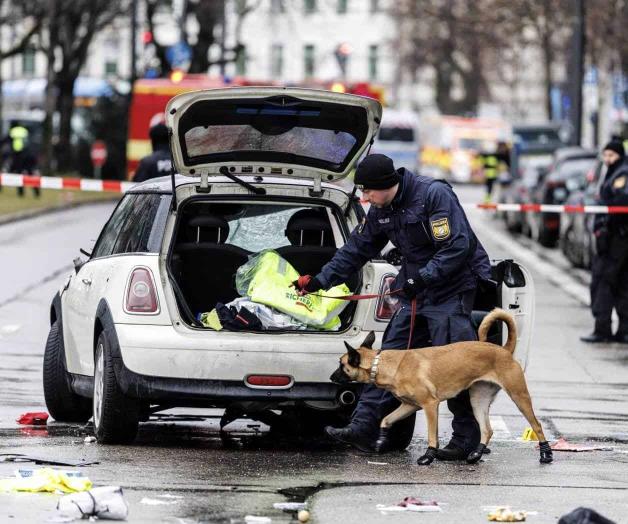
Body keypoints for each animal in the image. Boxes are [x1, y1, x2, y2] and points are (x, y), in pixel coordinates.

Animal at [332, 310, 552, 464]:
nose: (332, 377)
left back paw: (546, 454)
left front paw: (429, 456)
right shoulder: (409, 406)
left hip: (519, 396)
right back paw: (476, 454)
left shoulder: (430, 405)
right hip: (478, 400)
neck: (383, 364)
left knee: (537, 425)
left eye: (341, 365)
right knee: (487, 430)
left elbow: (432, 435)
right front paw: (381, 440)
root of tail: (503, 350)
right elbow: (386, 420)